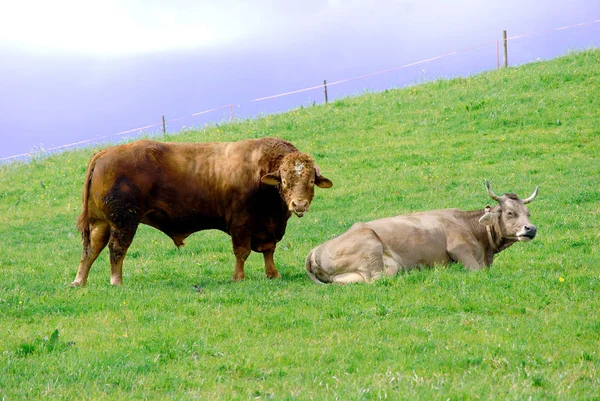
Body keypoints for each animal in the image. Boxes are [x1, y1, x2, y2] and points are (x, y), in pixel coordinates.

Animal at [72, 137, 332, 284]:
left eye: (310, 181)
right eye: (285, 181)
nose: (299, 205)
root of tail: (106, 152)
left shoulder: (268, 227)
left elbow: (269, 251)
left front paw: (273, 274)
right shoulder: (241, 224)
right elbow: (242, 252)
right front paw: (238, 278)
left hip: (102, 223)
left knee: (91, 249)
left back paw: (79, 281)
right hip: (124, 222)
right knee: (116, 250)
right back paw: (116, 281)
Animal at [308, 181, 536, 284]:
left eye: (528, 213)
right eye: (510, 213)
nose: (531, 229)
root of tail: (314, 251)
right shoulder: (460, 250)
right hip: (371, 246)